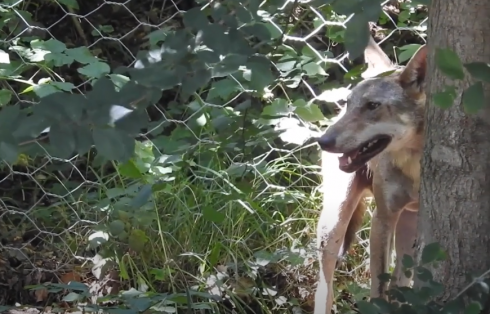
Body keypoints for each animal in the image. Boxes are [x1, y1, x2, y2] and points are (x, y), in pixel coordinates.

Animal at [314, 35, 424, 314]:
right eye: (349, 104)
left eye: (372, 106)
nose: (323, 141)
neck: (415, 166)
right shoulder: (382, 218)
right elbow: (379, 289)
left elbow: (395, 285)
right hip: (333, 225)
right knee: (324, 286)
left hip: (408, 225)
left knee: (401, 281)